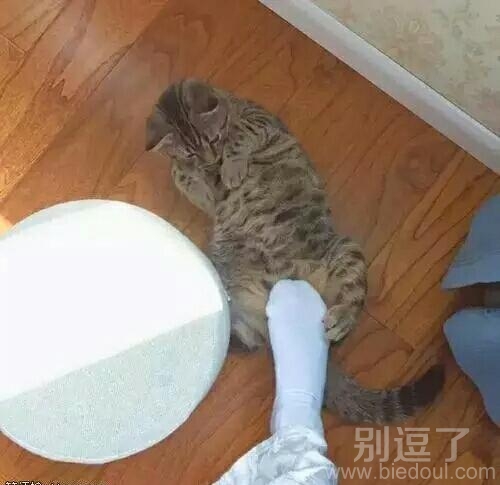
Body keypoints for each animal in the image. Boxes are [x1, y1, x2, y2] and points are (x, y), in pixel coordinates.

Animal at [146, 79, 444, 424]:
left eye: (214, 138)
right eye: (193, 149)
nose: (209, 159)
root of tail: (283, 284)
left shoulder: (261, 121)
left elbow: (240, 137)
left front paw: (231, 165)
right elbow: (184, 178)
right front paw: (189, 172)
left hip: (346, 251)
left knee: (352, 300)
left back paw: (339, 320)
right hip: (237, 290)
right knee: (252, 340)